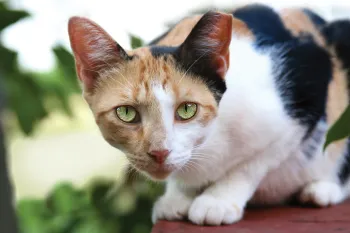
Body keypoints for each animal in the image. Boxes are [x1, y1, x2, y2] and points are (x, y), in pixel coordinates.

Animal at [68, 3, 350, 226]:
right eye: (126, 113)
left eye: (187, 109)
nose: (159, 152)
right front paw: (178, 196)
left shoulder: (304, 97)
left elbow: (253, 163)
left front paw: (218, 200)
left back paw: (321, 189)